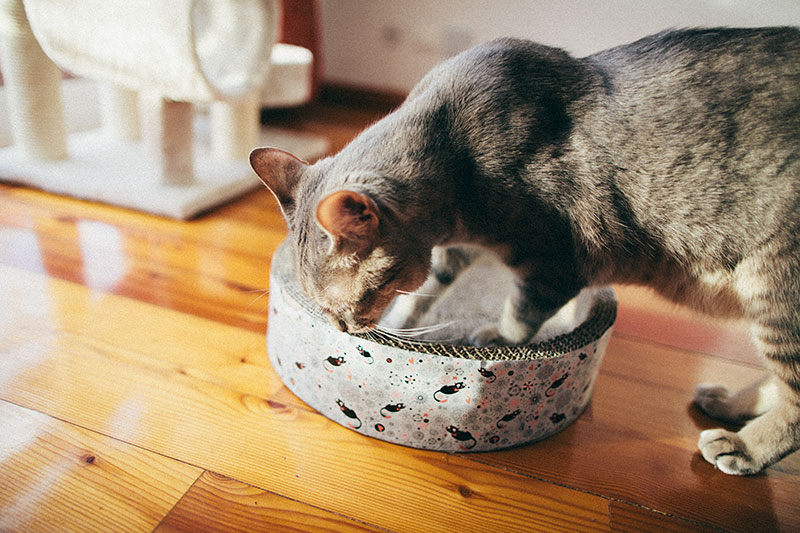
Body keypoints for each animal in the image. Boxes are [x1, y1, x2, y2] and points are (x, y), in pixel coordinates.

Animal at [252, 27, 800, 474]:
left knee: (795, 404)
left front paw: (494, 339)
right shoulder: (455, 246)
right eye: (324, 309)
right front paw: (402, 324)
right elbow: (427, 290)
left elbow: (520, 314)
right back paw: (727, 403)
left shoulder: (556, 260)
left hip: (776, 290)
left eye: (343, 306)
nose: (342, 329)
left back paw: (743, 446)